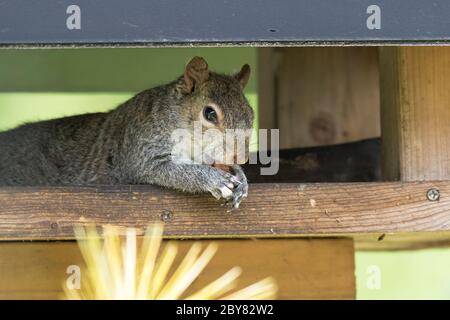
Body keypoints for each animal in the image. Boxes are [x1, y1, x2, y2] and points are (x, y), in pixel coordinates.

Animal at [0, 56, 253, 209]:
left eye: (251, 113)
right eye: (209, 114)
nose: (239, 156)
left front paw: (241, 177)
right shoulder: (141, 152)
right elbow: (173, 171)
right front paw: (215, 179)